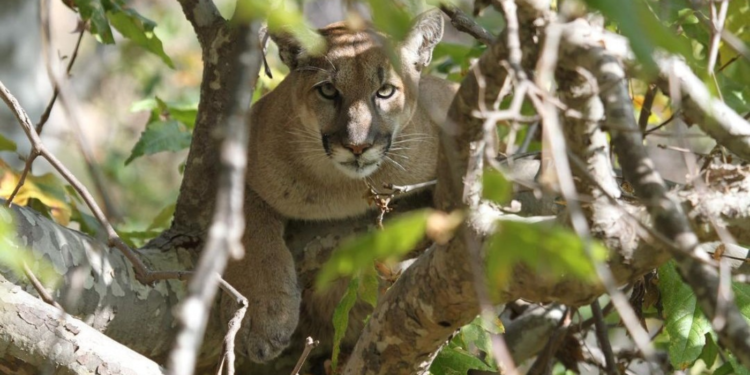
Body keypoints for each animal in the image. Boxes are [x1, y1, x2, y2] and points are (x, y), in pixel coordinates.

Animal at [222, 8, 458, 364]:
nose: (358, 146)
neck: (342, 188)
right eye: (328, 91)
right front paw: (264, 320)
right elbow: (254, 238)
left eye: (385, 91)